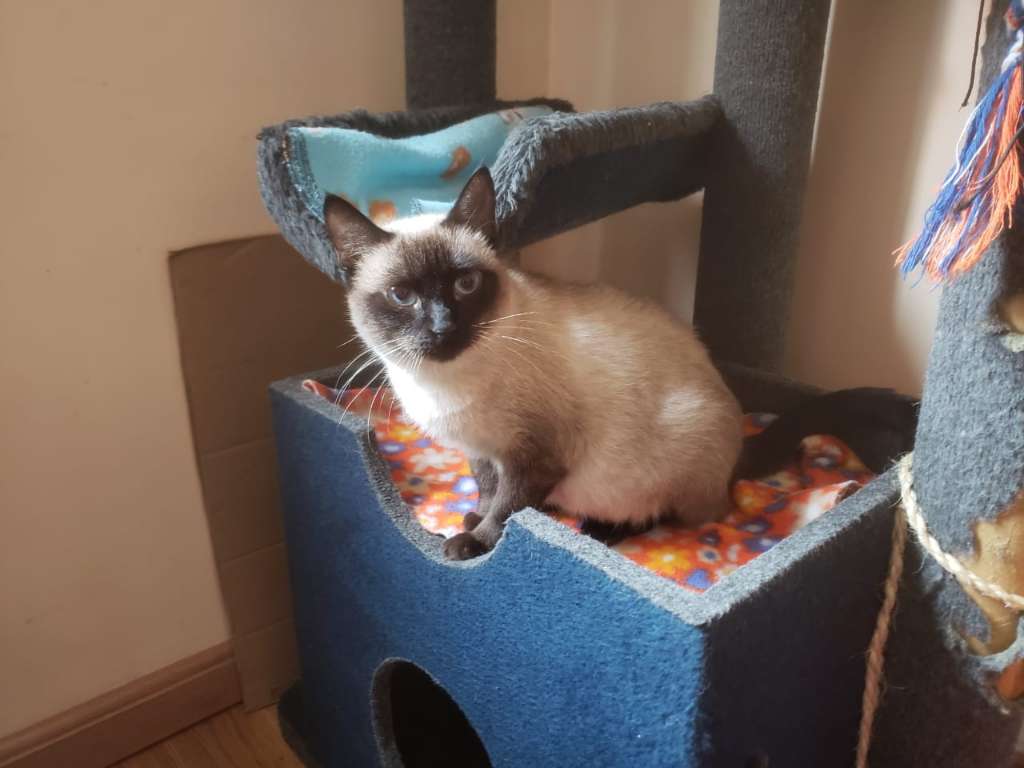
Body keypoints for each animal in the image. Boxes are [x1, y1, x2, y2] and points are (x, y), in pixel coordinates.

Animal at [323, 168, 918, 561]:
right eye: (402, 296)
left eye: (466, 285)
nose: (443, 327)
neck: (444, 385)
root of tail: (734, 447)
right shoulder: (485, 452)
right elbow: (488, 490)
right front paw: (472, 518)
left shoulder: (536, 456)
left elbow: (508, 508)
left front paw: (475, 542)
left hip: (671, 453)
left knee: (689, 515)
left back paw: (604, 531)